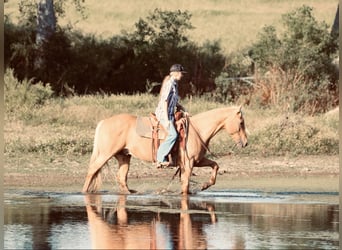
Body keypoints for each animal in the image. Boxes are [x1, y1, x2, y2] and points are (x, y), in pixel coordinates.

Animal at [83, 104, 248, 194]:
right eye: (241, 122)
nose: (245, 143)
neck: (197, 130)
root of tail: (104, 122)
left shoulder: (197, 161)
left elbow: (215, 165)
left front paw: (205, 185)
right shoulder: (188, 164)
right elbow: (185, 185)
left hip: (124, 156)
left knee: (121, 177)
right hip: (105, 154)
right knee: (92, 171)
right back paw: (84, 192)